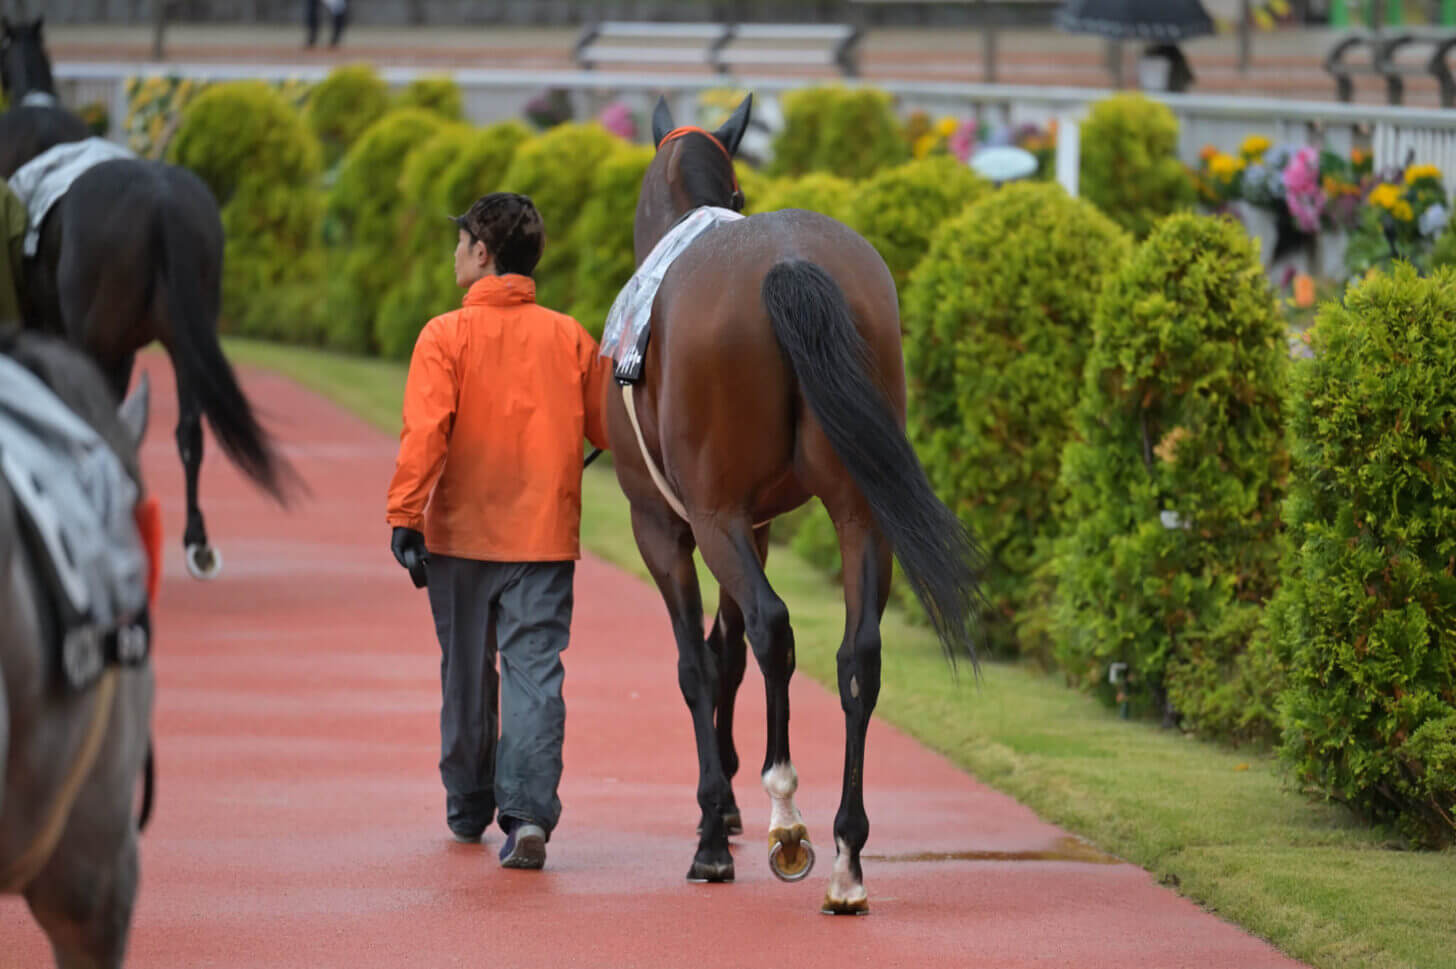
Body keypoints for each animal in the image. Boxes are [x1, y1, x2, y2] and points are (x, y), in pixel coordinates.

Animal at [608, 94, 984, 907]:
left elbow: (699, 661)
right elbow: (725, 652)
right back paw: (846, 856)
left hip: (714, 515)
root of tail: (788, 263)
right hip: (859, 508)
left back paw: (787, 817)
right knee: (858, 654)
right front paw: (725, 809)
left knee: (774, 626)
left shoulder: (670, 525)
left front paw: (714, 827)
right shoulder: (756, 523)